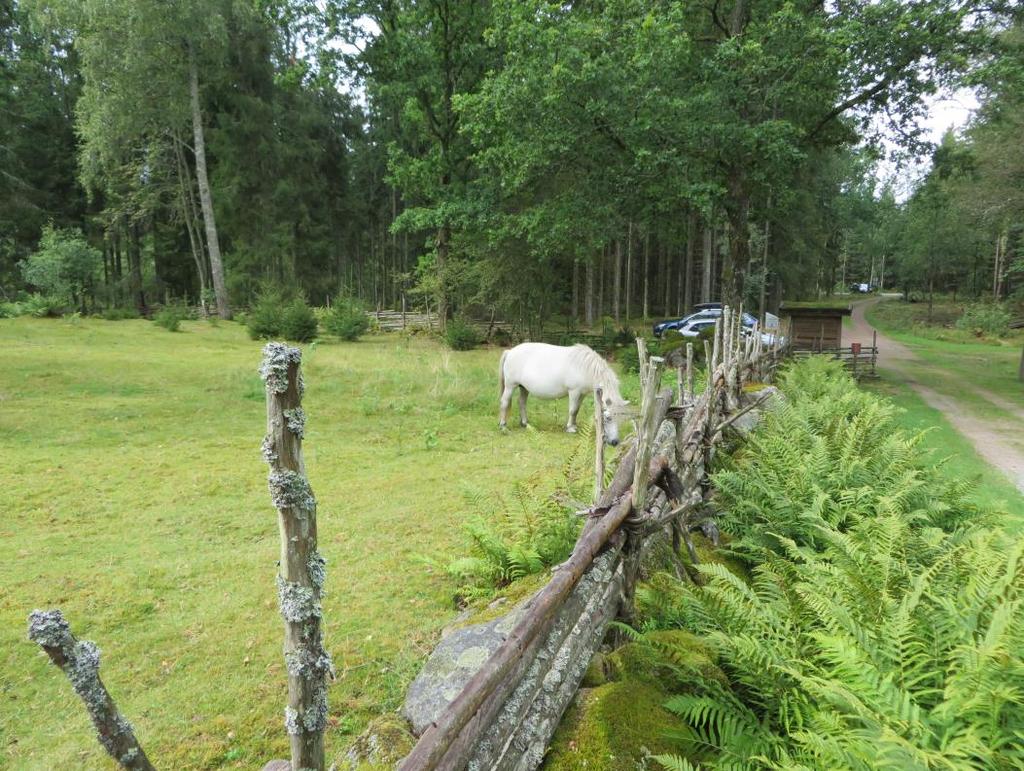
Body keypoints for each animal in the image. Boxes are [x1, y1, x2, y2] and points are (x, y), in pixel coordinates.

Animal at [493, 341, 622, 444]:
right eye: (608, 418)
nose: (615, 442)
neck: (584, 367)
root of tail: (510, 352)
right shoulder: (574, 392)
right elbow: (572, 410)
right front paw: (570, 428)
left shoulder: (581, 394)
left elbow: (576, 410)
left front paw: (574, 425)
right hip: (510, 386)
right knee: (505, 402)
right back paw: (503, 426)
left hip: (523, 387)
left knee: (521, 402)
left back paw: (525, 423)